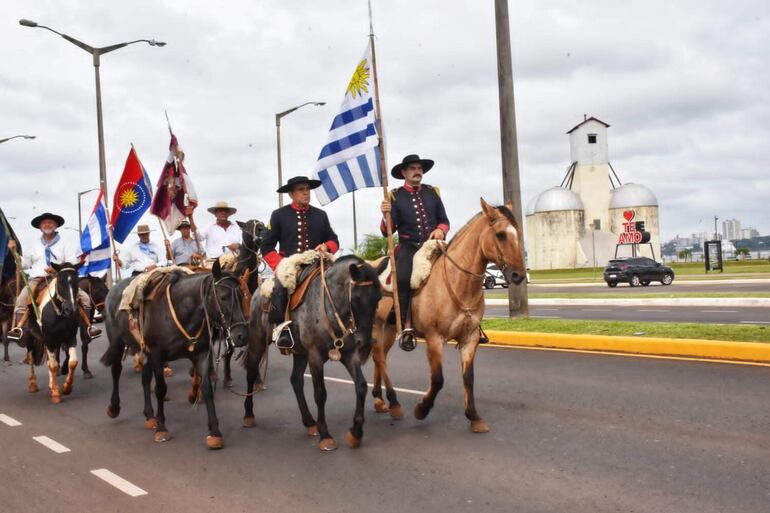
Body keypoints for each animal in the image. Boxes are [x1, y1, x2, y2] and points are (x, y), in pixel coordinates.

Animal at [23, 262, 83, 402]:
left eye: (77, 280)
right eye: (60, 281)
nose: (70, 309)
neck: (59, 314)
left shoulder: (70, 337)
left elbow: (72, 362)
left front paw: (66, 387)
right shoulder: (49, 339)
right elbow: (54, 366)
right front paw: (56, 393)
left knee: (51, 360)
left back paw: (51, 385)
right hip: (31, 337)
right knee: (31, 357)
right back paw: (33, 384)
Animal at [368, 198, 524, 430]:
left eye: (518, 233)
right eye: (501, 235)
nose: (518, 275)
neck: (456, 281)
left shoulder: (470, 339)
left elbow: (468, 377)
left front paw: (474, 417)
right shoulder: (434, 339)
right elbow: (438, 379)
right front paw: (422, 409)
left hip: (388, 327)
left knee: (380, 356)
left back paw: (381, 400)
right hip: (375, 325)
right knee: (379, 356)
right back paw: (393, 402)